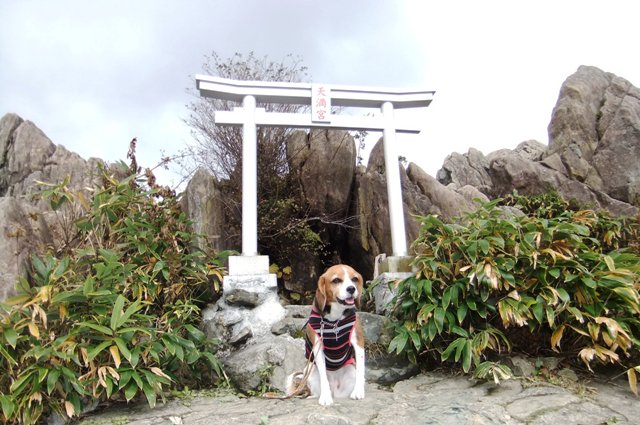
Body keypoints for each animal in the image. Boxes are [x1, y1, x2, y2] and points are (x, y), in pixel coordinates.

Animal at [290, 264, 364, 406]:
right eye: (336, 280)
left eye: (354, 279)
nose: (351, 288)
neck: (335, 318)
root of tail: (335, 390)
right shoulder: (318, 347)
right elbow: (323, 374)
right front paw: (325, 397)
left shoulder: (359, 344)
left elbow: (361, 370)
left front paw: (358, 391)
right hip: (311, 373)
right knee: (314, 391)